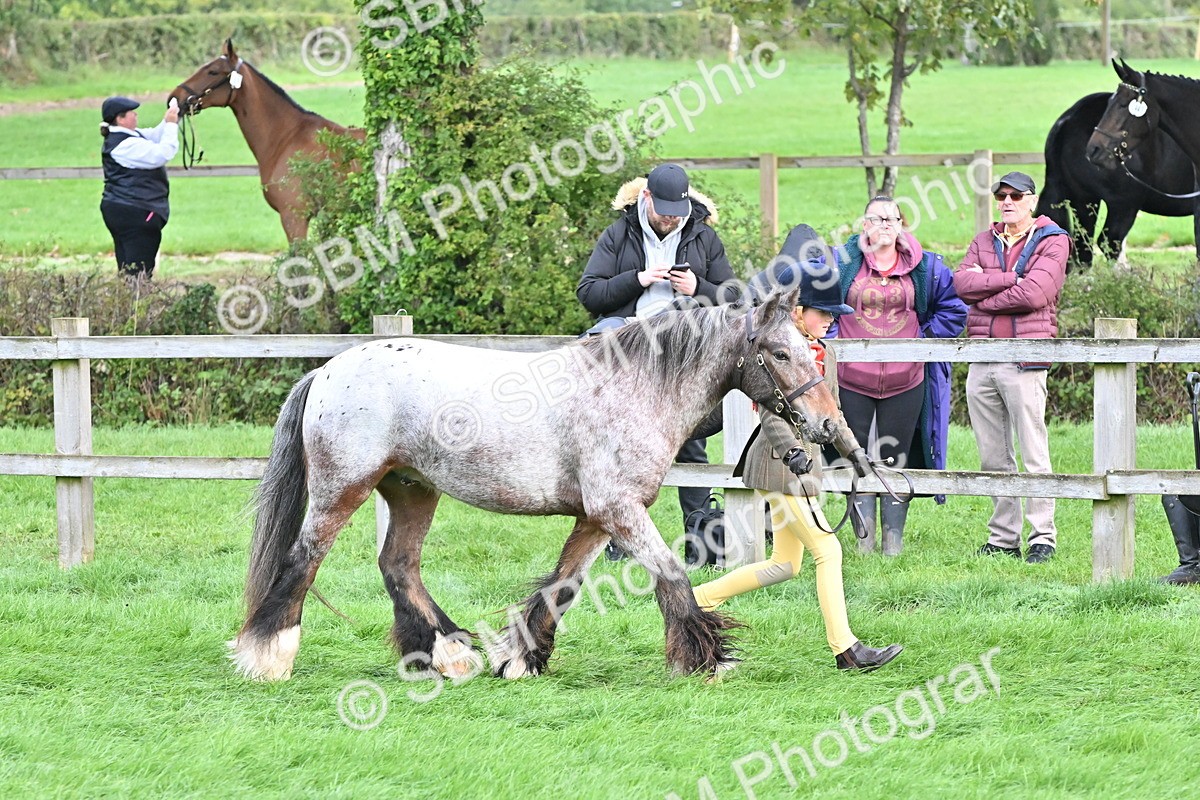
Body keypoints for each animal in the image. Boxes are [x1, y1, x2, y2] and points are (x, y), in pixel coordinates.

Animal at [227, 292, 859, 683]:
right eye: (780, 353)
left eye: (808, 350)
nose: (830, 429)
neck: (634, 386)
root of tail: (327, 370)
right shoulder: (620, 510)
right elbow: (672, 575)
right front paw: (709, 658)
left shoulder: (597, 518)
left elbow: (562, 586)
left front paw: (519, 660)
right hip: (343, 490)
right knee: (304, 559)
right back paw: (269, 656)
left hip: (412, 490)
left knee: (398, 566)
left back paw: (449, 655)